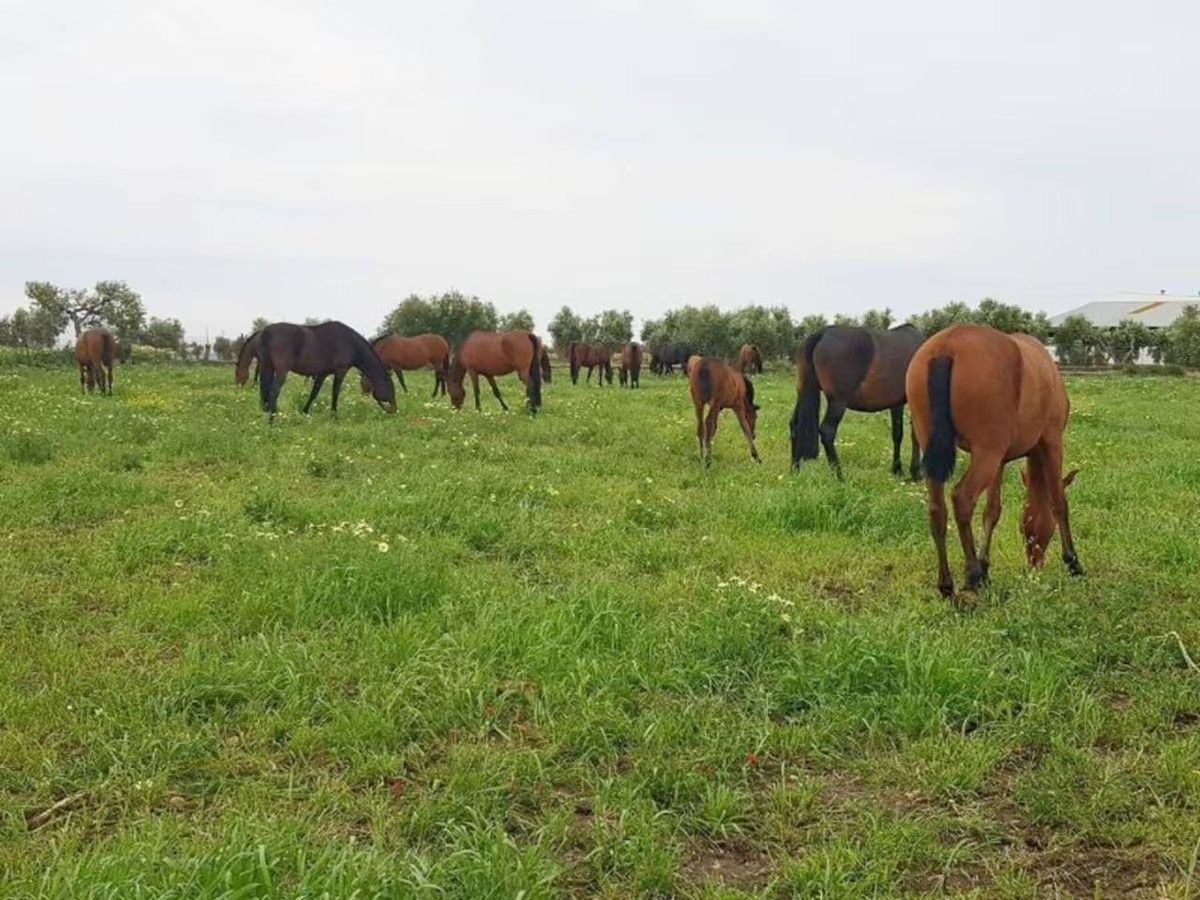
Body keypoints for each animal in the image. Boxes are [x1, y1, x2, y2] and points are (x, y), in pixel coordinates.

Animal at [257, 321, 396, 420]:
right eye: (391, 388)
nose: (394, 410)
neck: (351, 344)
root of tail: (267, 332)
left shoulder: (322, 374)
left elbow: (314, 393)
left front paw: (305, 412)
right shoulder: (340, 372)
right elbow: (335, 393)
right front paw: (334, 416)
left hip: (267, 367)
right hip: (281, 370)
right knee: (274, 391)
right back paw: (272, 419)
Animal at [790, 324, 925, 479]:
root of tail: (821, 334)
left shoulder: (896, 403)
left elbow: (898, 434)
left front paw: (897, 469)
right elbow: (915, 434)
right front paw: (915, 472)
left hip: (804, 394)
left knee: (795, 425)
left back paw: (794, 470)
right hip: (838, 402)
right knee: (827, 431)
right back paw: (839, 476)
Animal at [906, 324, 1083, 598]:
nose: (1034, 563)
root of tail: (947, 345)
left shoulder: (1000, 460)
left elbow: (992, 511)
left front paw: (986, 565)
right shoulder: (1052, 443)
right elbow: (1059, 503)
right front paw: (1072, 561)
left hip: (942, 448)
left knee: (937, 509)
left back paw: (947, 584)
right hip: (985, 454)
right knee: (962, 499)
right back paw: (972, 575)